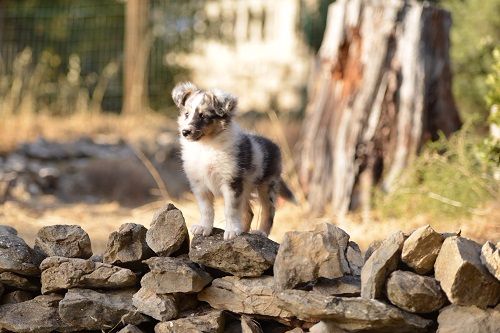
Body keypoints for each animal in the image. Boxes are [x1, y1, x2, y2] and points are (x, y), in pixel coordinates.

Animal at [174, 82, 294, 239]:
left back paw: (261, 232)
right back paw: (242, 230)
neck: (206, 146)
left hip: (267, 185)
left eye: (204, 116)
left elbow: (230, 210)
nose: (185, 132)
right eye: (186, 114)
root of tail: (274, 144)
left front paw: (231, 231)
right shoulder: (199, 184)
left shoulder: (231, 182)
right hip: (246, 187)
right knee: (249, 212)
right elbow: (206, 209)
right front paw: (204, 228)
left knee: (269, 211)